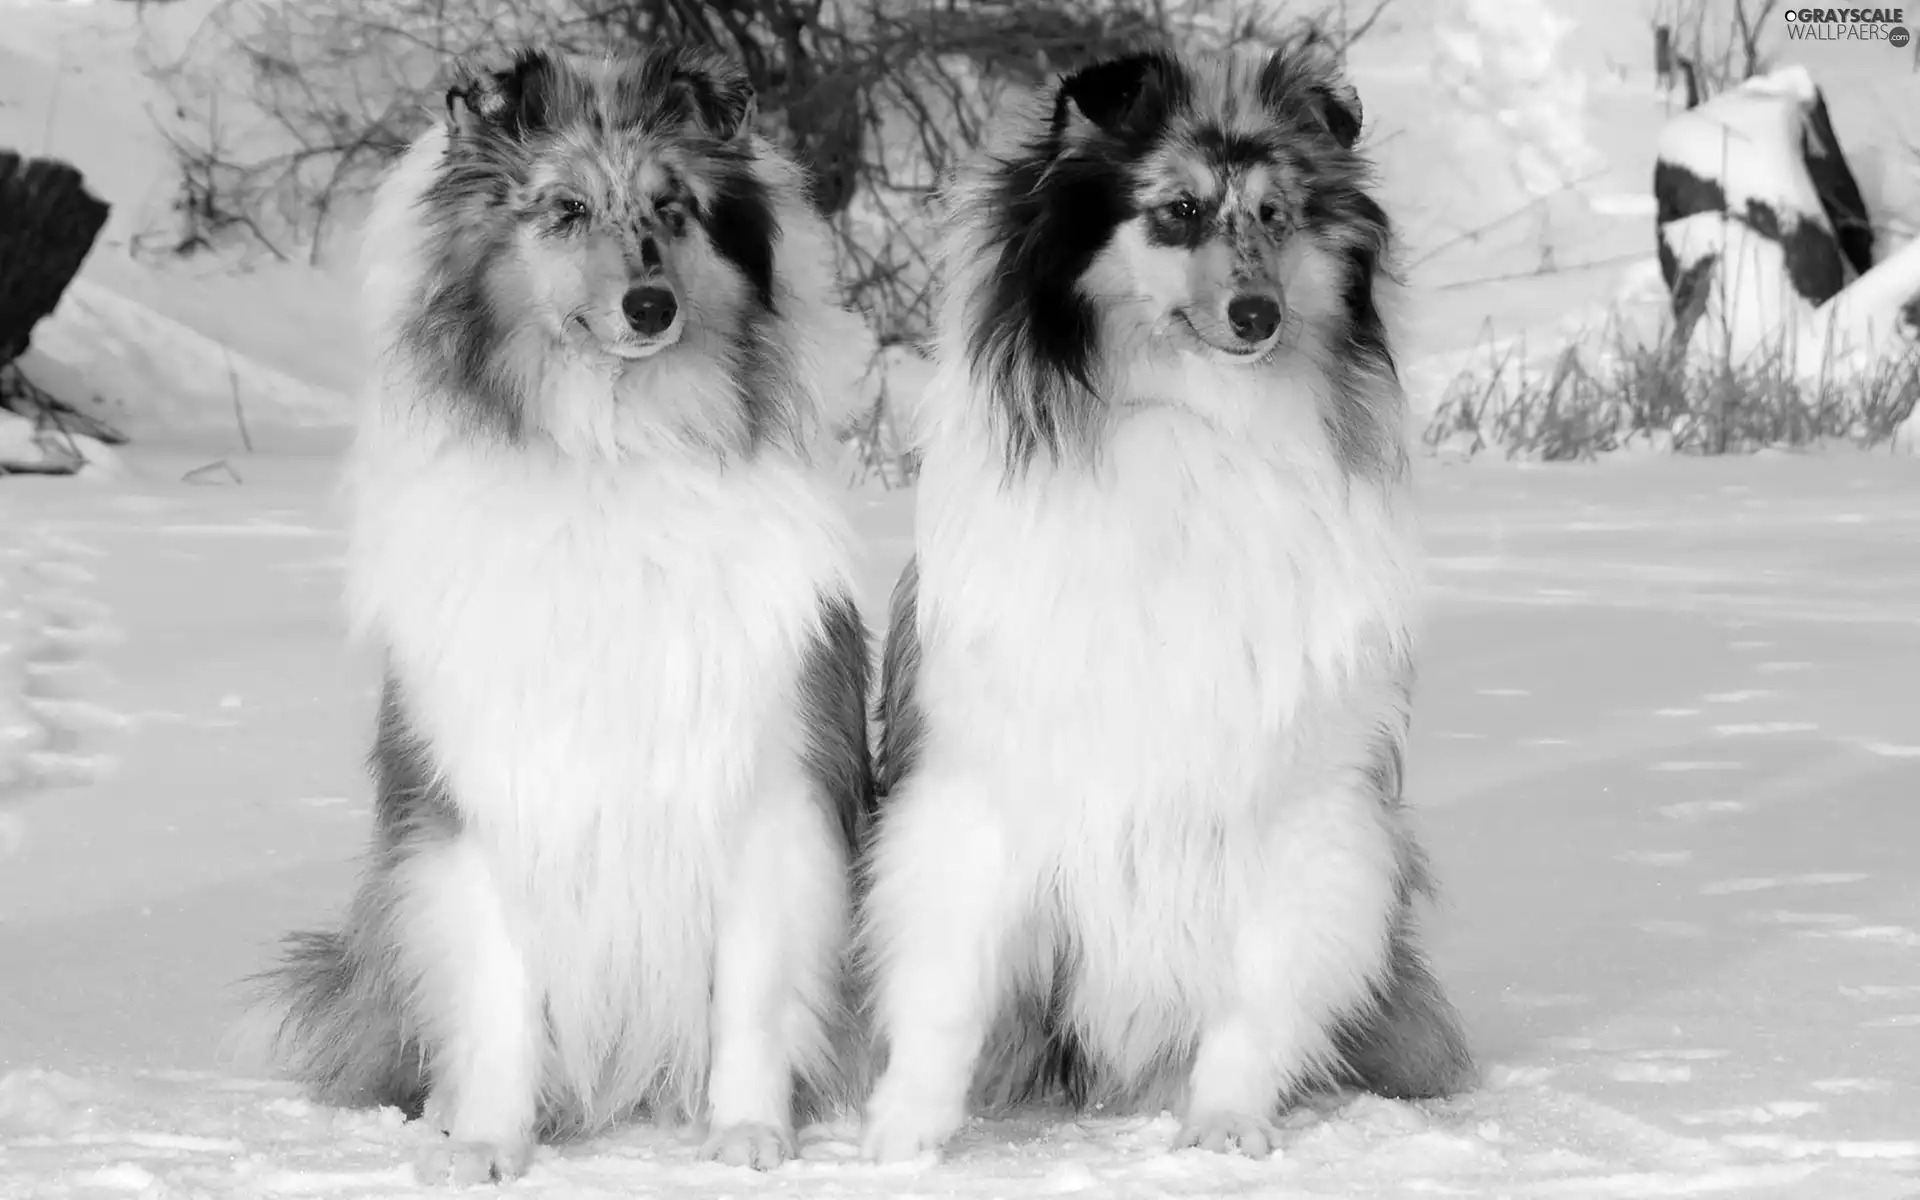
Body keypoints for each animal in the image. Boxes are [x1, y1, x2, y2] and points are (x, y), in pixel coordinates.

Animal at [259, 44, 875, 1182]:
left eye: (674, 209)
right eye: (566, 209)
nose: (651, 306)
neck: (612, 457)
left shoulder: (769, 782)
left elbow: (753, 990)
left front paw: (748, 1134)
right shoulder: (485, 790)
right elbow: (499, 990)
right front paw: (487, 1144)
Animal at [864, 39, 1474, 1159]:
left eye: (1276, 214)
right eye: (1177, 211)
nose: (1257, 317)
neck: (1198, 424)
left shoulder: (1307, 806)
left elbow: (1263, 988)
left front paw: (1225, 1126)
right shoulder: (980, 784)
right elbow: (946, 982)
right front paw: (902, 1139)